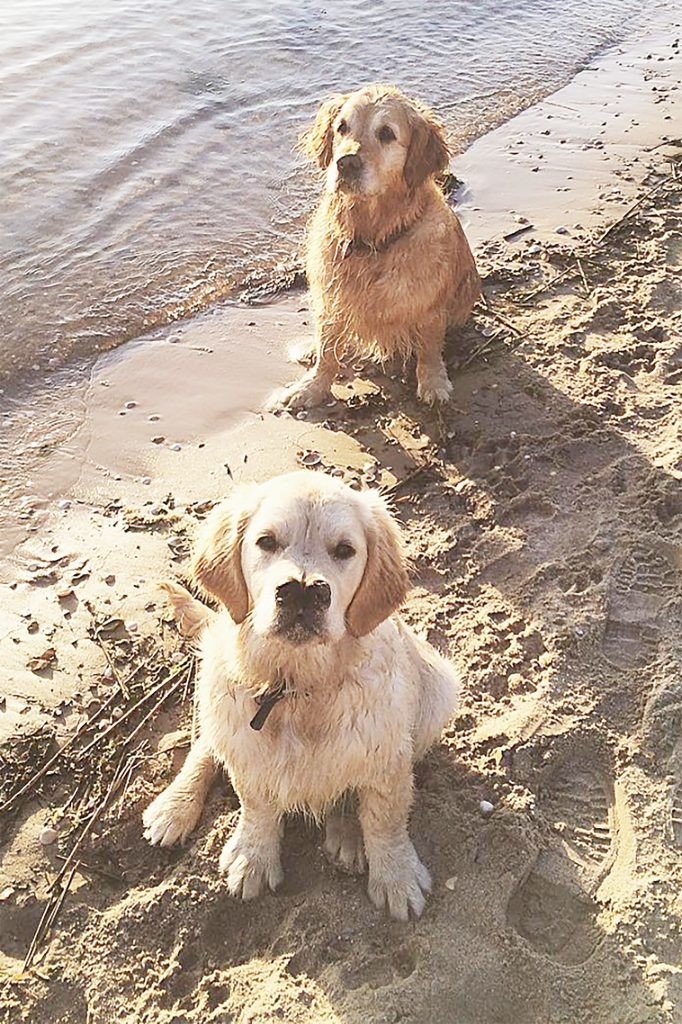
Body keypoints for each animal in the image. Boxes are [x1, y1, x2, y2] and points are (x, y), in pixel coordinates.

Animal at [142, 471, 456, 921]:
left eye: (344, 550)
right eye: (267, 541)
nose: (303, 592)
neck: (296, 686)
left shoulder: (387, 757)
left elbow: (385, 819)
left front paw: (396, 875)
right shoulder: (250, 751)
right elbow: (255, 805)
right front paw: (253, 857)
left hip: (439, 690)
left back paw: (347, 834)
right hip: (216, 688)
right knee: (206, 746)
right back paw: (174, 806)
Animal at [268, 82, 481, 411]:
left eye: (386, 133)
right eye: (342, 127)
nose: (346, 163)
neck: (371, 237)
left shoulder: (429, 306)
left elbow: (430, 348)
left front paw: (433, 382)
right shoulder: (332, 298)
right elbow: (327, 349)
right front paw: (312, 387)